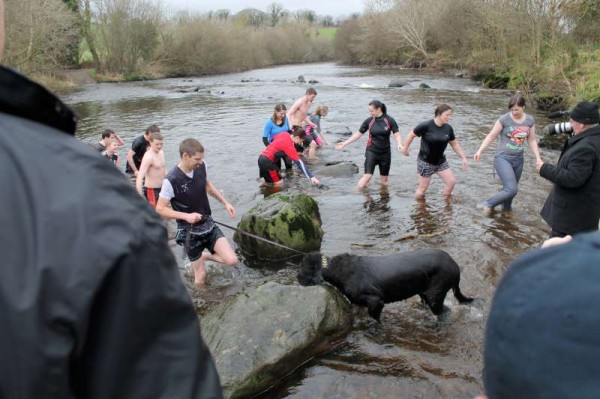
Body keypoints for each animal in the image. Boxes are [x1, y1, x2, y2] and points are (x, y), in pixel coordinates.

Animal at [298, 250, 472, 322]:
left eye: (302, 269)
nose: (297, 278)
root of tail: (454, 265)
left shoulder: (376, 301)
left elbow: (375, 319)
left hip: (434, 295)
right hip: (425, 293)